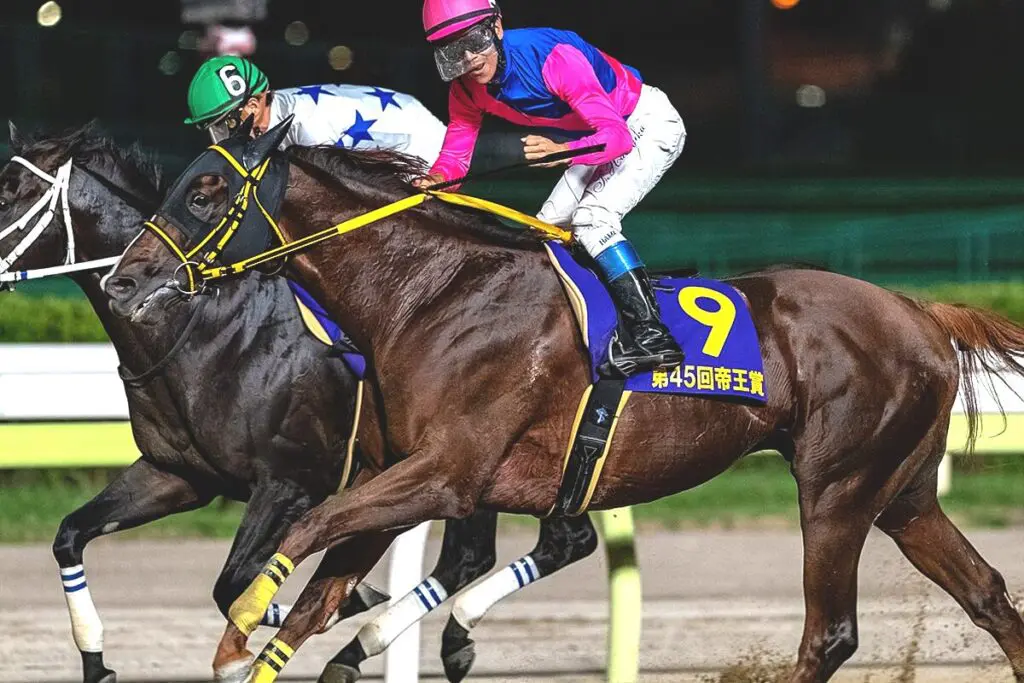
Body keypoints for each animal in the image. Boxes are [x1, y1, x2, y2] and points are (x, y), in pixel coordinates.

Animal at [0, 123, 608, 683]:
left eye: (8, 193)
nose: (122, 285)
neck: (203, 329)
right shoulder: (178, 473)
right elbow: (70, 536)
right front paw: (97, 663)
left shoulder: (292, 481)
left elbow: (233, 583)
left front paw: (326, 612)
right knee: (561, 540)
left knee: (483, 553)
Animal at [104, 118, 1024, 683]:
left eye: (204, 193)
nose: (123, 281)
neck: (427, 293)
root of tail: (918, 309)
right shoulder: (400, 480)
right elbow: (317, 592)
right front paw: (279, 634)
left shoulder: (445, 473)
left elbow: (304, 534)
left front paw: (241, 627)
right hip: (901, 492)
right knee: (986, 593)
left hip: (835, 487)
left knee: (830, 631)